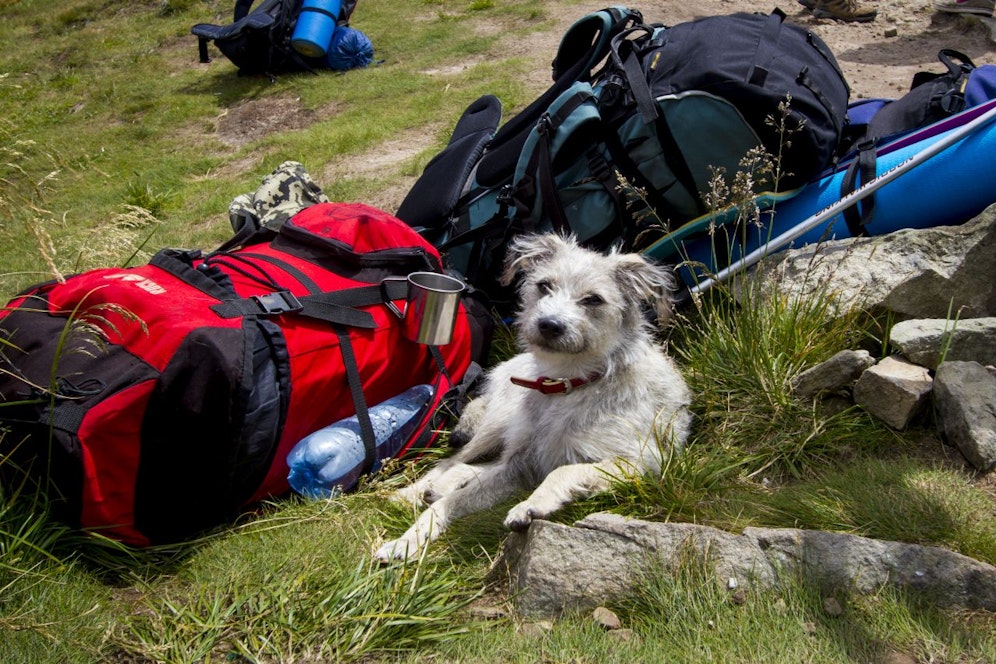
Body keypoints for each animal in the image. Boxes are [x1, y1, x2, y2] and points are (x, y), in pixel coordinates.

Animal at [376, 233, 692, 560]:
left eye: (593, 299)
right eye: (544, 286)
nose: (549, 324)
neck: (567, 382)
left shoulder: (642, 464)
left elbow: (564, 470)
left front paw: (531, 504)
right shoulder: (519, 464)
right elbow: (449, 502)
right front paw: (407, 540)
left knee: (471, 467)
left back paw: (441, 486)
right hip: (496, 426)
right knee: (453, 461)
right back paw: (414, 491)